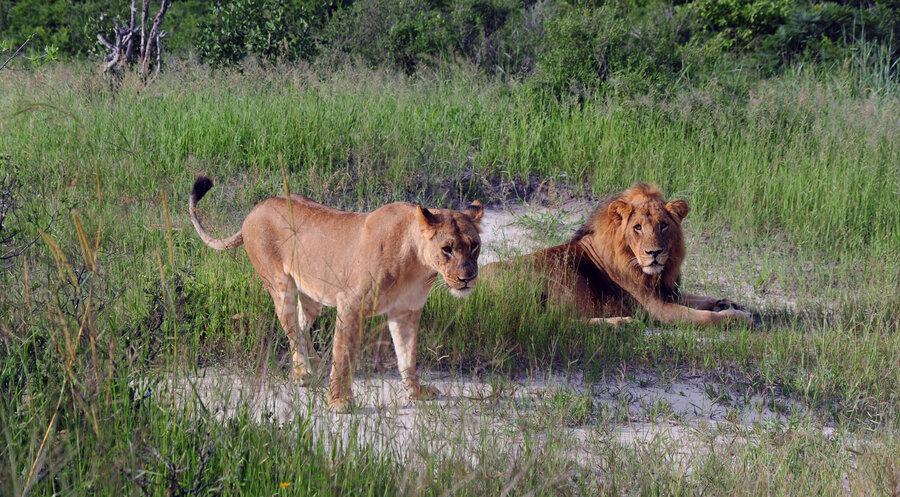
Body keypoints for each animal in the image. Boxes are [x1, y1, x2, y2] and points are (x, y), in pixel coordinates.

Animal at [188, 177, 483, 413]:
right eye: (447, 248)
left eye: (474, 245)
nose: (467, 277)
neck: (418, 264)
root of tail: (255, 209)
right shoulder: (351, 305)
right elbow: (344, 355)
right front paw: (339, 402)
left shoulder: (406, 312)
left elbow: (407, 356)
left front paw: (417, 393)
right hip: (280, 284)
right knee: (291, 329)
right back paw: (303, 373)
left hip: (311, 294)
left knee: (301, 324)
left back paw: (316, 366)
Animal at [482, 183, 752, 327]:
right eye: (638, 227)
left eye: (664, 225)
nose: (654, 252)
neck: (654, 275)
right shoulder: (657, 309)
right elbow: (705, 317)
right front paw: (740, 316)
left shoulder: (668, 291)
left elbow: (698, 298)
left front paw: (727, 302)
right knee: (555, 322)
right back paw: (620, 323)